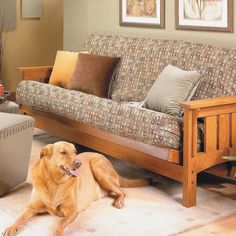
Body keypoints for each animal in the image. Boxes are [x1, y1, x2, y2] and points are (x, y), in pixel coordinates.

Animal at [3, 142, 149, 236]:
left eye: (75, 152)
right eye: (63, 152)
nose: (79, 163)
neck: (54, 182)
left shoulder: (72, 210)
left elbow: (61, 223)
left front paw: (56, 233)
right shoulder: (31, 207)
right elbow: (19, 218)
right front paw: (11, 227)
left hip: (97, 167)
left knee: (121, 191)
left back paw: (119, 201)